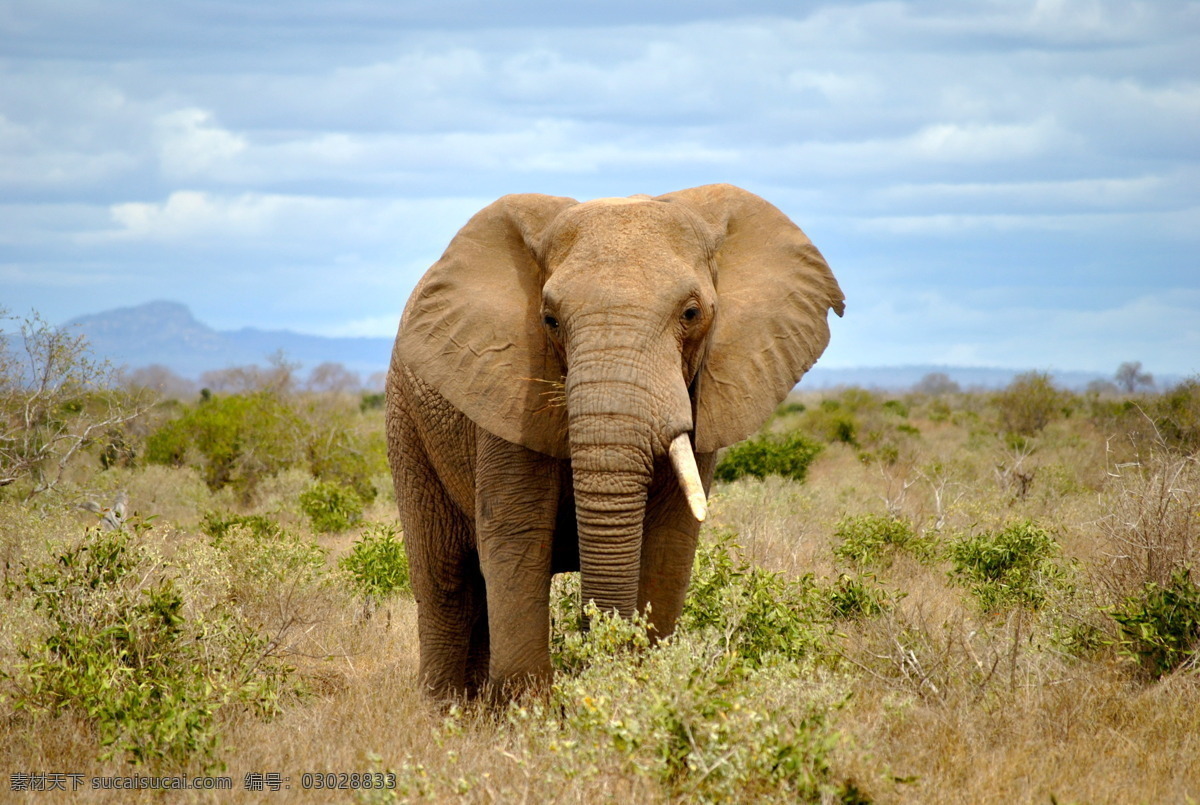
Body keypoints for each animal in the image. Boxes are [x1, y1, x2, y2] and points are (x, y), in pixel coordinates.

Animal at [386, 183, 844, 699]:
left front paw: (636, 686)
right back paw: (444, 708)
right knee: (447, 579)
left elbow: (670, 544)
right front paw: (530, 708)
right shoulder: (507, 395)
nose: (597, 653)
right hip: (407, 424)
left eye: (692, 313)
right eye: (549, 320)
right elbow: (515, 536)